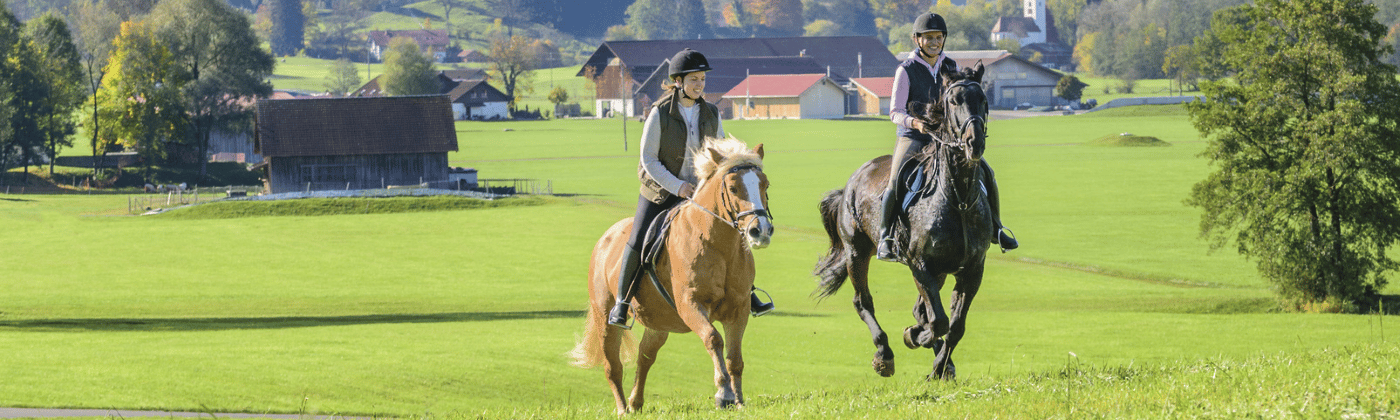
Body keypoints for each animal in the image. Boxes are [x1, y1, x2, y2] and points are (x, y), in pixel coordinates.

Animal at [574, 137, 784, 414]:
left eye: (764, 184)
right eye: (733, 187)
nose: (760, 231)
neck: (719, 247)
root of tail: (604, 240)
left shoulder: (738, 310)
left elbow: (734, 358)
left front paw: (739, 400)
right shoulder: (690, 305)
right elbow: (713, 339)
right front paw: (724, 394)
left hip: (658, 324)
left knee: (645, 357)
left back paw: (636, 403)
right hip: (605, 318)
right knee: (613, 366)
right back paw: (622, 408)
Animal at [812, 64, 996, 380]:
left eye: (983, 100)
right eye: (953, 101)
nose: (974, 143)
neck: (957, 199)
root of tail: (853, 180)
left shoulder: (972, 269)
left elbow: (954, 326)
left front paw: (940, 367)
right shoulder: (919, 264)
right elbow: (938, 321)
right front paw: (915, 337)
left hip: (939, 271)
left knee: (921, 310)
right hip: (856, 252)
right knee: (863, 301)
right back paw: (884, 355)